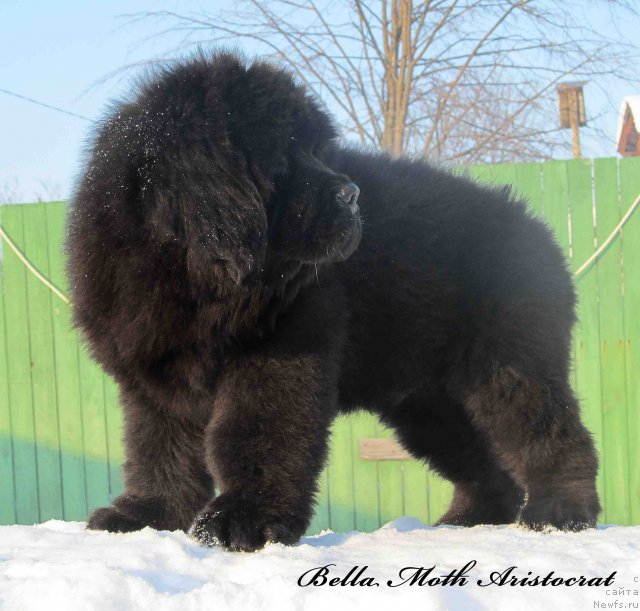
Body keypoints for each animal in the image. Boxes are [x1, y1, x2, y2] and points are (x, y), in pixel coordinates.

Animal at [66, 51, 600, 548]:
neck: (197, 278)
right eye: (283, 158)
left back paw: (561, 512)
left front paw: (245, 518)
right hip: (428, 401)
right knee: (481, 456)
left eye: (318, 152)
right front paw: (146, 514)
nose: (352, 193)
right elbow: (159, 448)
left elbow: (255, 432)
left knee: (549, 431)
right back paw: (470, 519)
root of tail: (540, 233)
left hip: (509, 363)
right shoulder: (155, 371)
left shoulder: (279, 353)